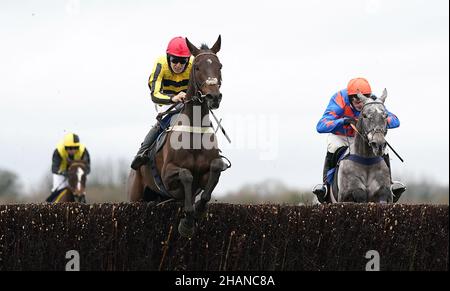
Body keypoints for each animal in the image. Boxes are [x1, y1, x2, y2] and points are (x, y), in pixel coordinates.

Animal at [128, 36, 230, 237]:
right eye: (196, 67)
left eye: (220, 66)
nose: (213, 97)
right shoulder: (167, 176)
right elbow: (186, 175)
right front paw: (188, 223)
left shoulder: (209, 171)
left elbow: (215, 169)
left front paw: (199, 211)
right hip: (135, 195)